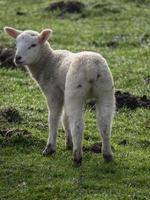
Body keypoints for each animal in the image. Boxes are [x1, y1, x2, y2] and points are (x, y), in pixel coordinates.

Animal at [4, 26, 115, 166]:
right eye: (16, 44)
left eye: (33, 45)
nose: (17, 58)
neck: (48, 62)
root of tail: (92, 68)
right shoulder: (64, 93)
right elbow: (65, 118)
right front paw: (68, 143)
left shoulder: (53, 94)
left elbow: (54, 119)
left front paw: (50, 148)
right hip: (105, 90)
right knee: (105, 124)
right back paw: (107, 155)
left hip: (75, 91)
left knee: (78, 125)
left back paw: (77, 157)